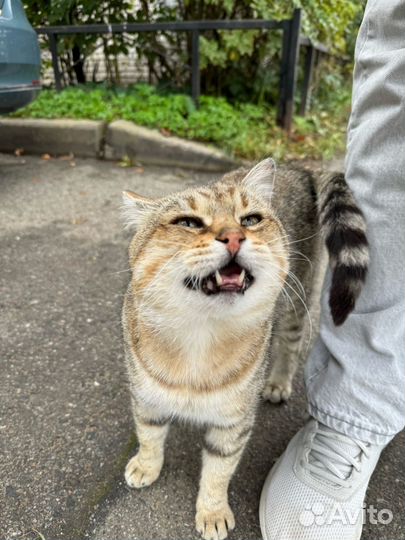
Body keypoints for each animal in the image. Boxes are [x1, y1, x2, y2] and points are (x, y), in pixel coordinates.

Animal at [119, 158, 366, 540]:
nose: (234, 236)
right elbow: (148, 435)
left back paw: (278, 382)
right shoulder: (146, 398)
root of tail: (301, 168)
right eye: (188, 222)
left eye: (250, 219)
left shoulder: (233, 423)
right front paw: (146, 466)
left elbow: (218, 472)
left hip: (296, 304)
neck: (199, 337)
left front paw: (212, 512)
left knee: (290, 346)